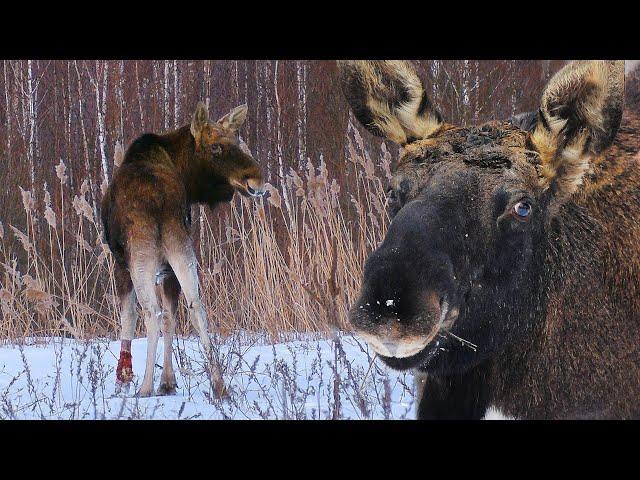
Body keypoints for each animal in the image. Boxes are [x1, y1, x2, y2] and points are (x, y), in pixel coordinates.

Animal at [100, 101, 264, 398]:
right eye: (216, 146)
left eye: (235, 141)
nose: (255, 179)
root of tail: (161, 199)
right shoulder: (167, 269)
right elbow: (172, 317)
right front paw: (168, 381)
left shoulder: (120, 263)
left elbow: (128, 318)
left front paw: (124, 379)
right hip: (181, 246)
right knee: (196, 306)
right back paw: (219, 385)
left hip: (140, 254)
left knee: (150, 311)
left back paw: (144, 387)